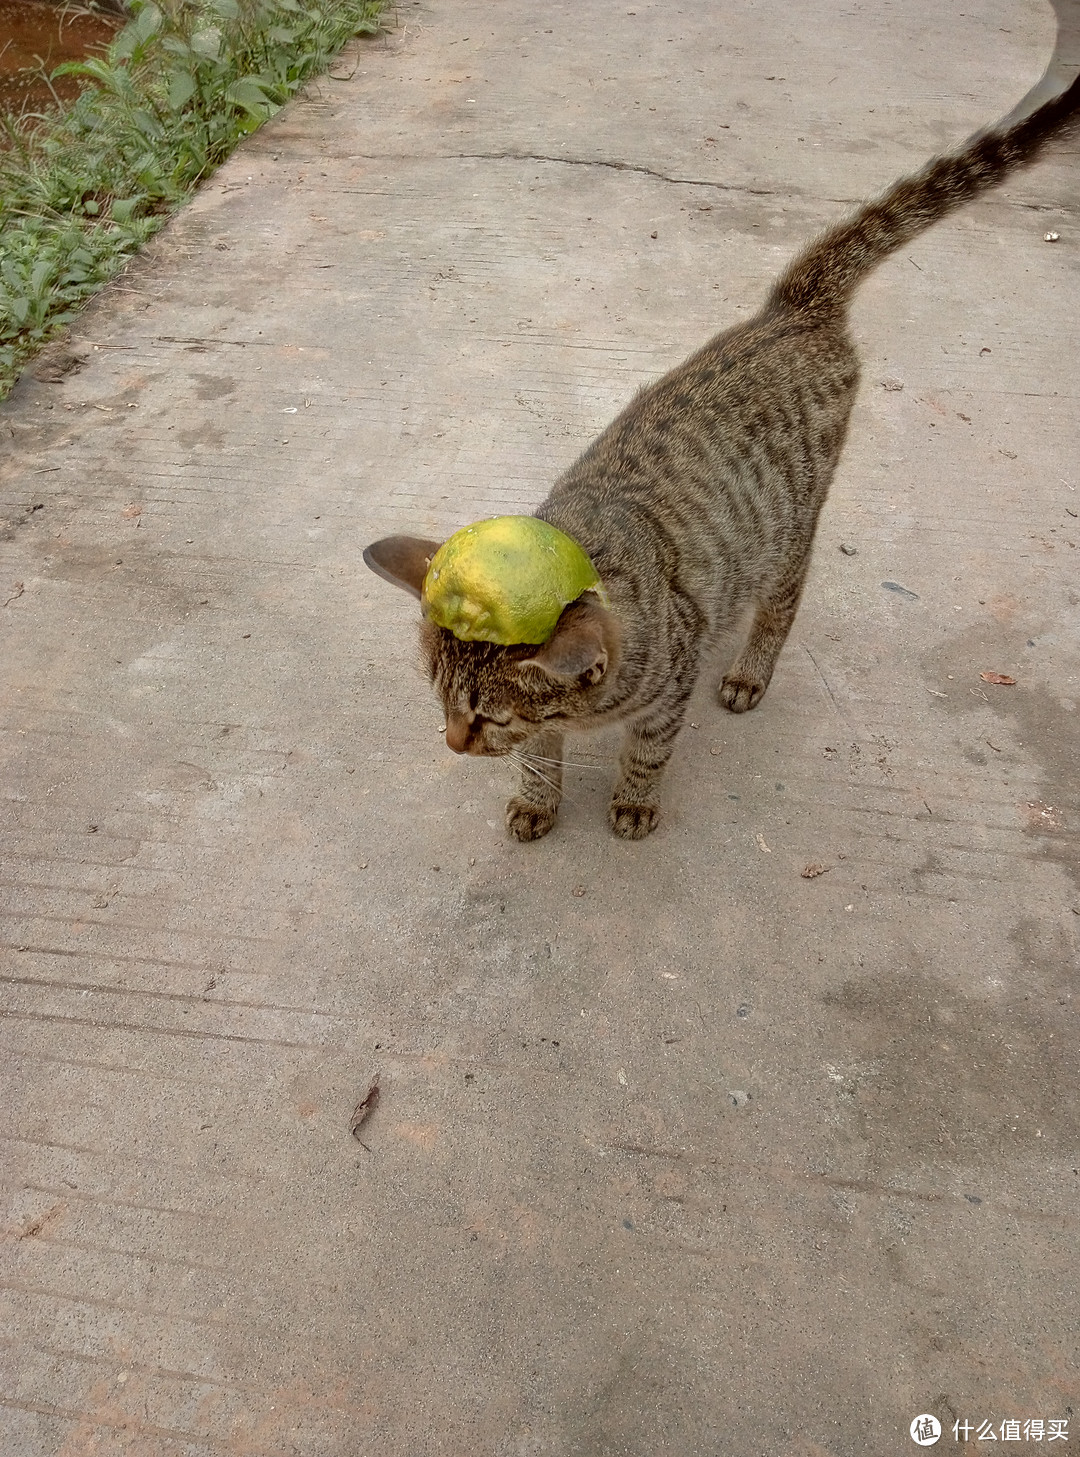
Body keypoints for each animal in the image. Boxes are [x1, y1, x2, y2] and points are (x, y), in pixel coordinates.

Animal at [364, 68, 1078, 845]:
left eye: (486, 716)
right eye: (438, 699)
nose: (451, 742)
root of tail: (792, 310)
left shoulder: (663, 692)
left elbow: (646, 750)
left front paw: (633, 799)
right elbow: (541, 757)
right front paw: (535, 799)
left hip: (791, 525)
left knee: (783, 602)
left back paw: (748, 669)